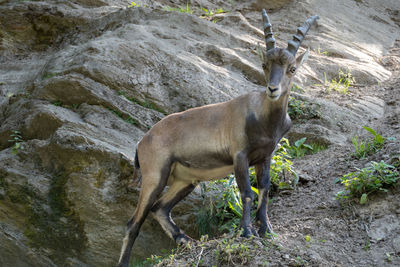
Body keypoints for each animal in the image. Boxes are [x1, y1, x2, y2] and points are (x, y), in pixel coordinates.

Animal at [116, 8, 318, 267]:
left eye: (292, 68)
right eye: (264, 65)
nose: (272, 89)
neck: (264, 118)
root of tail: (142, 142)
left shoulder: (264, 157)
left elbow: (264, 190)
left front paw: (267, 231)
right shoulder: (240, 156)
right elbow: (247, 192)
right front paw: (247, 232)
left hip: (185, 180)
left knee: (160, 208)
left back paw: (188, 241)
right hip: (155, 175)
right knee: (134, 222)